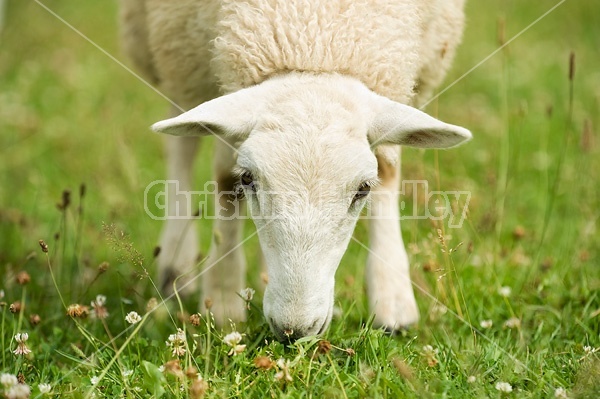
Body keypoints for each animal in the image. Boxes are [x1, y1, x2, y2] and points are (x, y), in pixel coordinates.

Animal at [119, 0, 472, 344]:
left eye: (362, 189)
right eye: (248, 179)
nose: (294, 331)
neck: (314, 31)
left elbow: (388, 170)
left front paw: (393, 303)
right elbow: (223, 179)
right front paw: (223, 302)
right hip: (175, 48)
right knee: (182, 143)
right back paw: (176, 267)